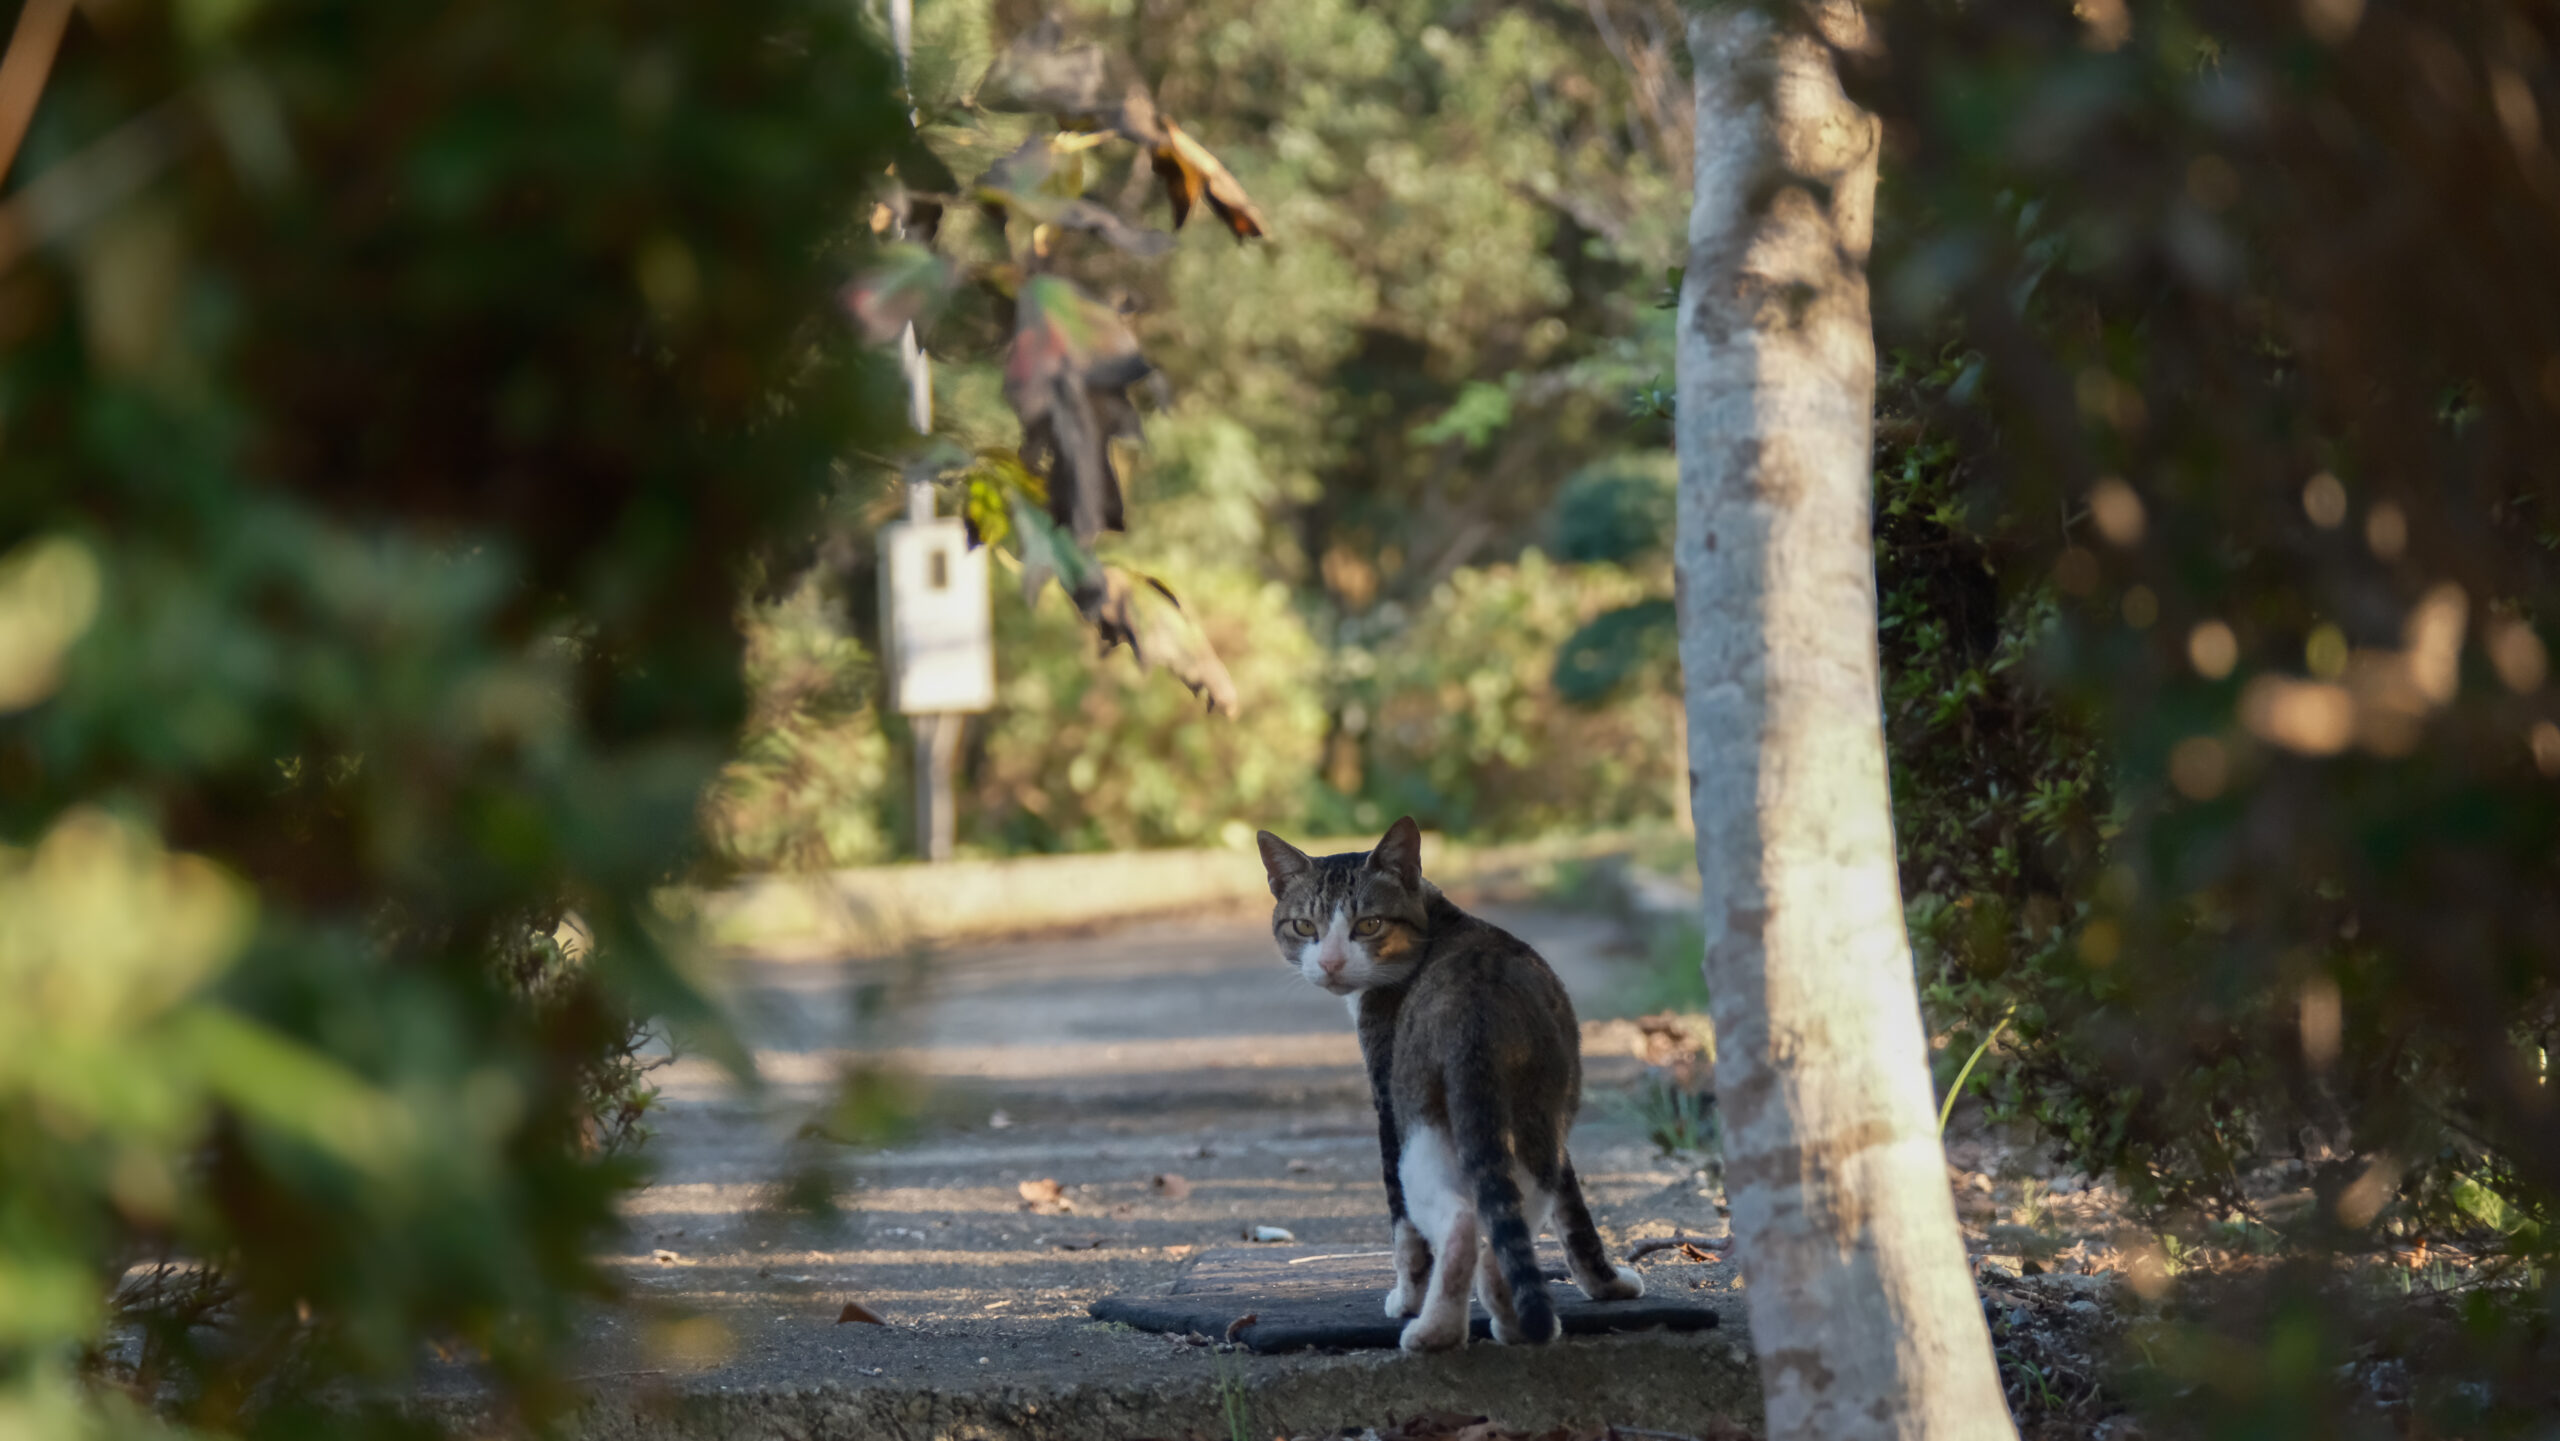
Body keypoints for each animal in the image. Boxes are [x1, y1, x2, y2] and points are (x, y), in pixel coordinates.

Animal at [1254, 824, 1648, 1351]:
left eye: (1369, 924)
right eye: (1303, 927)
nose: (1332, 963)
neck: (1436, 920)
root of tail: (1476, 1015)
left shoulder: (1386, 1097)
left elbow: (1404, 1231)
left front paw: (1405, 1299)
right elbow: (1573, 1212)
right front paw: (1609, 1285)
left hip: (1418, 1118)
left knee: (1457, 1220)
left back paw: (1434, 1329)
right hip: (1535, 1116)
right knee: (1512, 1210)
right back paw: (1507, 1319)